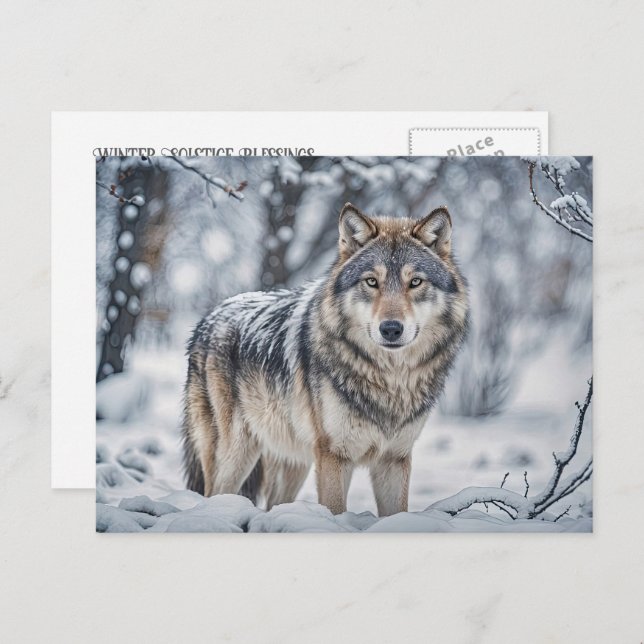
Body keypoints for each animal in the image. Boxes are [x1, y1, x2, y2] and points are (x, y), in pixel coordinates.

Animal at [182, 203, 469, 516]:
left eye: (415, 282)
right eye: (372, 281)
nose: (391, 329)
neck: (389, 379)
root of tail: (208, 318)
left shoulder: (394, 458)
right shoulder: (334, 455)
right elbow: (334, 509)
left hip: (294, 461)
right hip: (237, 453)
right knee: (213, 494)